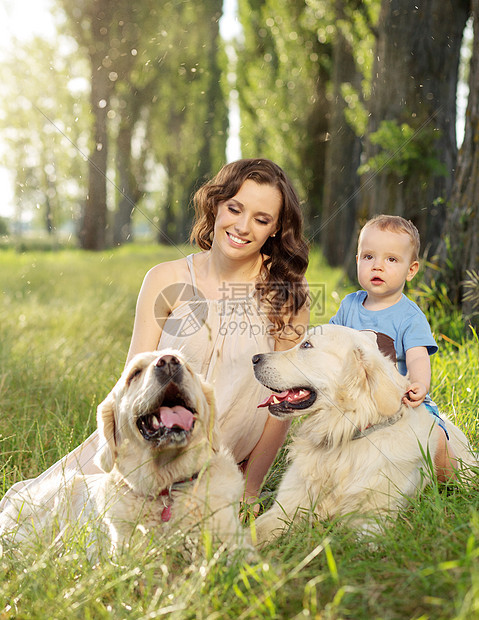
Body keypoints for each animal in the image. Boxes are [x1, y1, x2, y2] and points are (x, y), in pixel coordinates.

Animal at [253, 324, 478, 544]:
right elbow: (251, 533)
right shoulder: (285, 508)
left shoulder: (373, 522)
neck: (343, 433)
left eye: (307, 345)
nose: (254, 358)